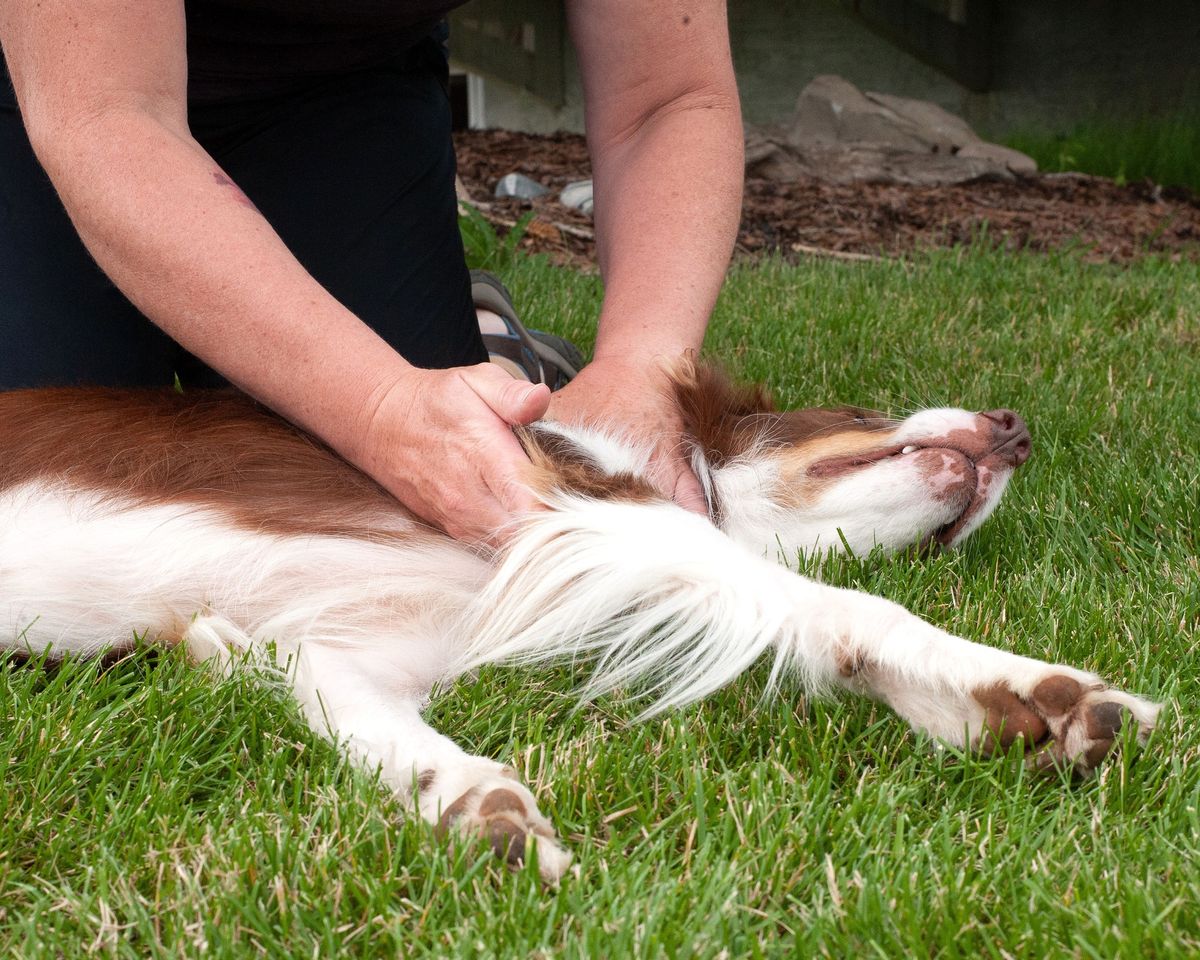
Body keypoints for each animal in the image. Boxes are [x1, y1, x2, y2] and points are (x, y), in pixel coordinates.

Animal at [0, 364, 1161, 883]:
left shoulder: (348, 651)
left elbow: (389, 737)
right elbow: (843, 605)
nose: (1017, 430)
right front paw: (1034, 689)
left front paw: (478, 809)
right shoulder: (575, 502)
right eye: (857, 414)